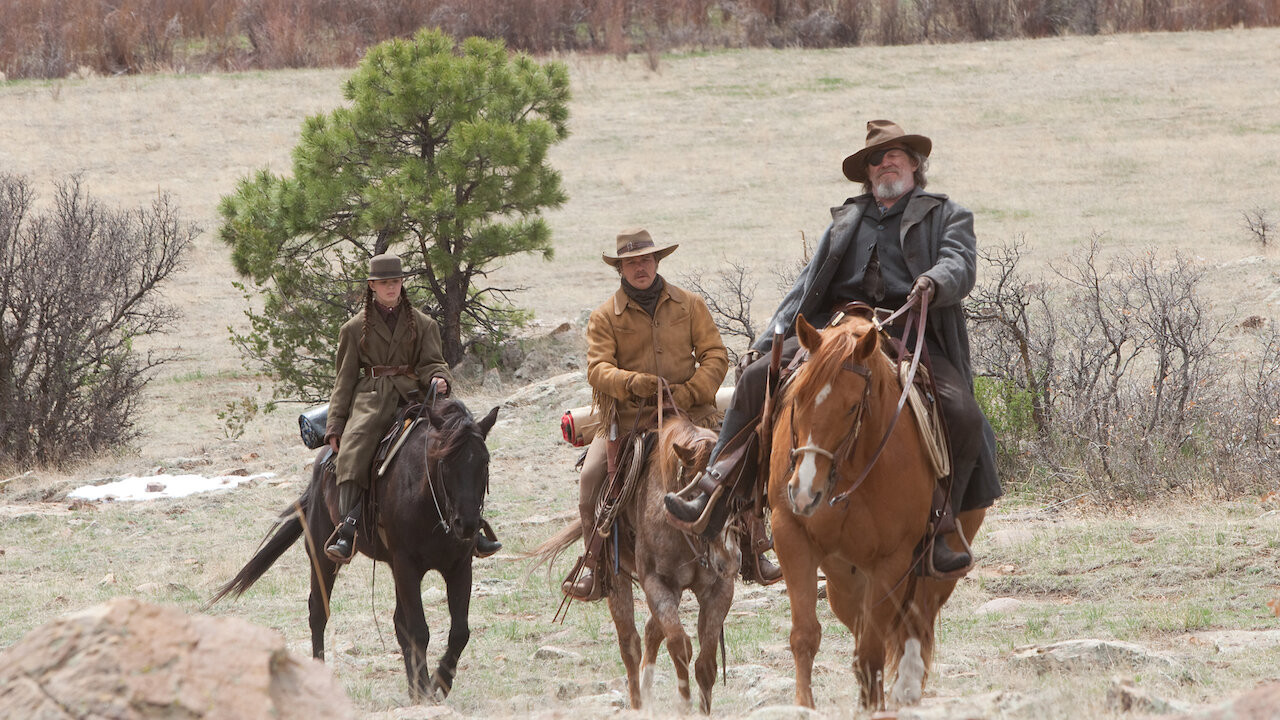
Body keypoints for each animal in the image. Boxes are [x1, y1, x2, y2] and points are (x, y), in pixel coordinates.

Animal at [535, 409, 742, 712]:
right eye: (694, 494)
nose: (730, 558)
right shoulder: (657, 582)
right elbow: (679, 645)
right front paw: (683, 704)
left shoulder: (718, 589)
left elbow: (705, 663)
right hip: (615, 576)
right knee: (629, 642)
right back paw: (638, 702)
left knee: (650, 632)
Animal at [762, 312, 983, 707]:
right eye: (797, 397)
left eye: (852, 406)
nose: (804, 492)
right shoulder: (791, 534)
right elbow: (805, 636)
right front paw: (804, 706)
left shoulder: (892, 562)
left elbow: (872, 652)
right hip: (843, 581)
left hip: (934, 575)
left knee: (915, 627)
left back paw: (906, 691)